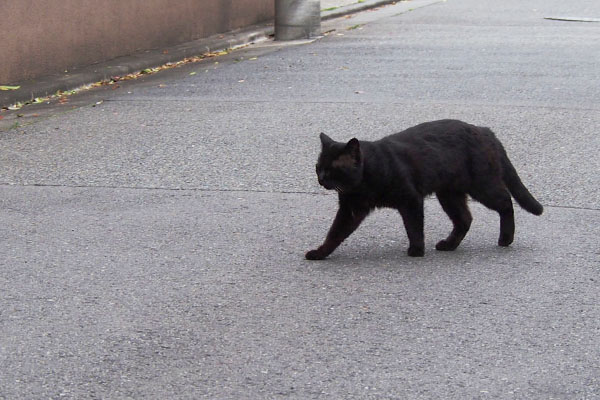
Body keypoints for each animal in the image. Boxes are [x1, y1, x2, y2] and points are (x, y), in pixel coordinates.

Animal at [308, 119, 540, 260]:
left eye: (332, 169)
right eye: (318, 167)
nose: (321, 179)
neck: (362, 182)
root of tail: (485, 130)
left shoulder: (411, 199)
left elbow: (414, 227)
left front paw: (417, 250)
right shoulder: (351, 209)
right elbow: (335, 233)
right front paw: (320, 253)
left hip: (482, 186)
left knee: (506, 202)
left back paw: (506, 238)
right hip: (449, 194)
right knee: (465, 219)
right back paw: (449, 245)